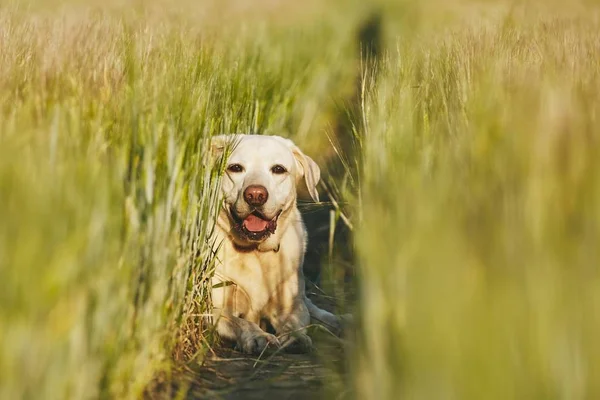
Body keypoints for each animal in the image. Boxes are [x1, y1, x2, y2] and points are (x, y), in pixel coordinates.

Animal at [210, 134, 346, 354]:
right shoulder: (214, 308)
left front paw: (295, 337)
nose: (255, 195)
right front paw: (258, 336)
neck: (255, 252)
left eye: (278, 169)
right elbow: (240, 321)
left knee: (314, 309)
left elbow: (297, 321)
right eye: (235, 168)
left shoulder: (292, 306)